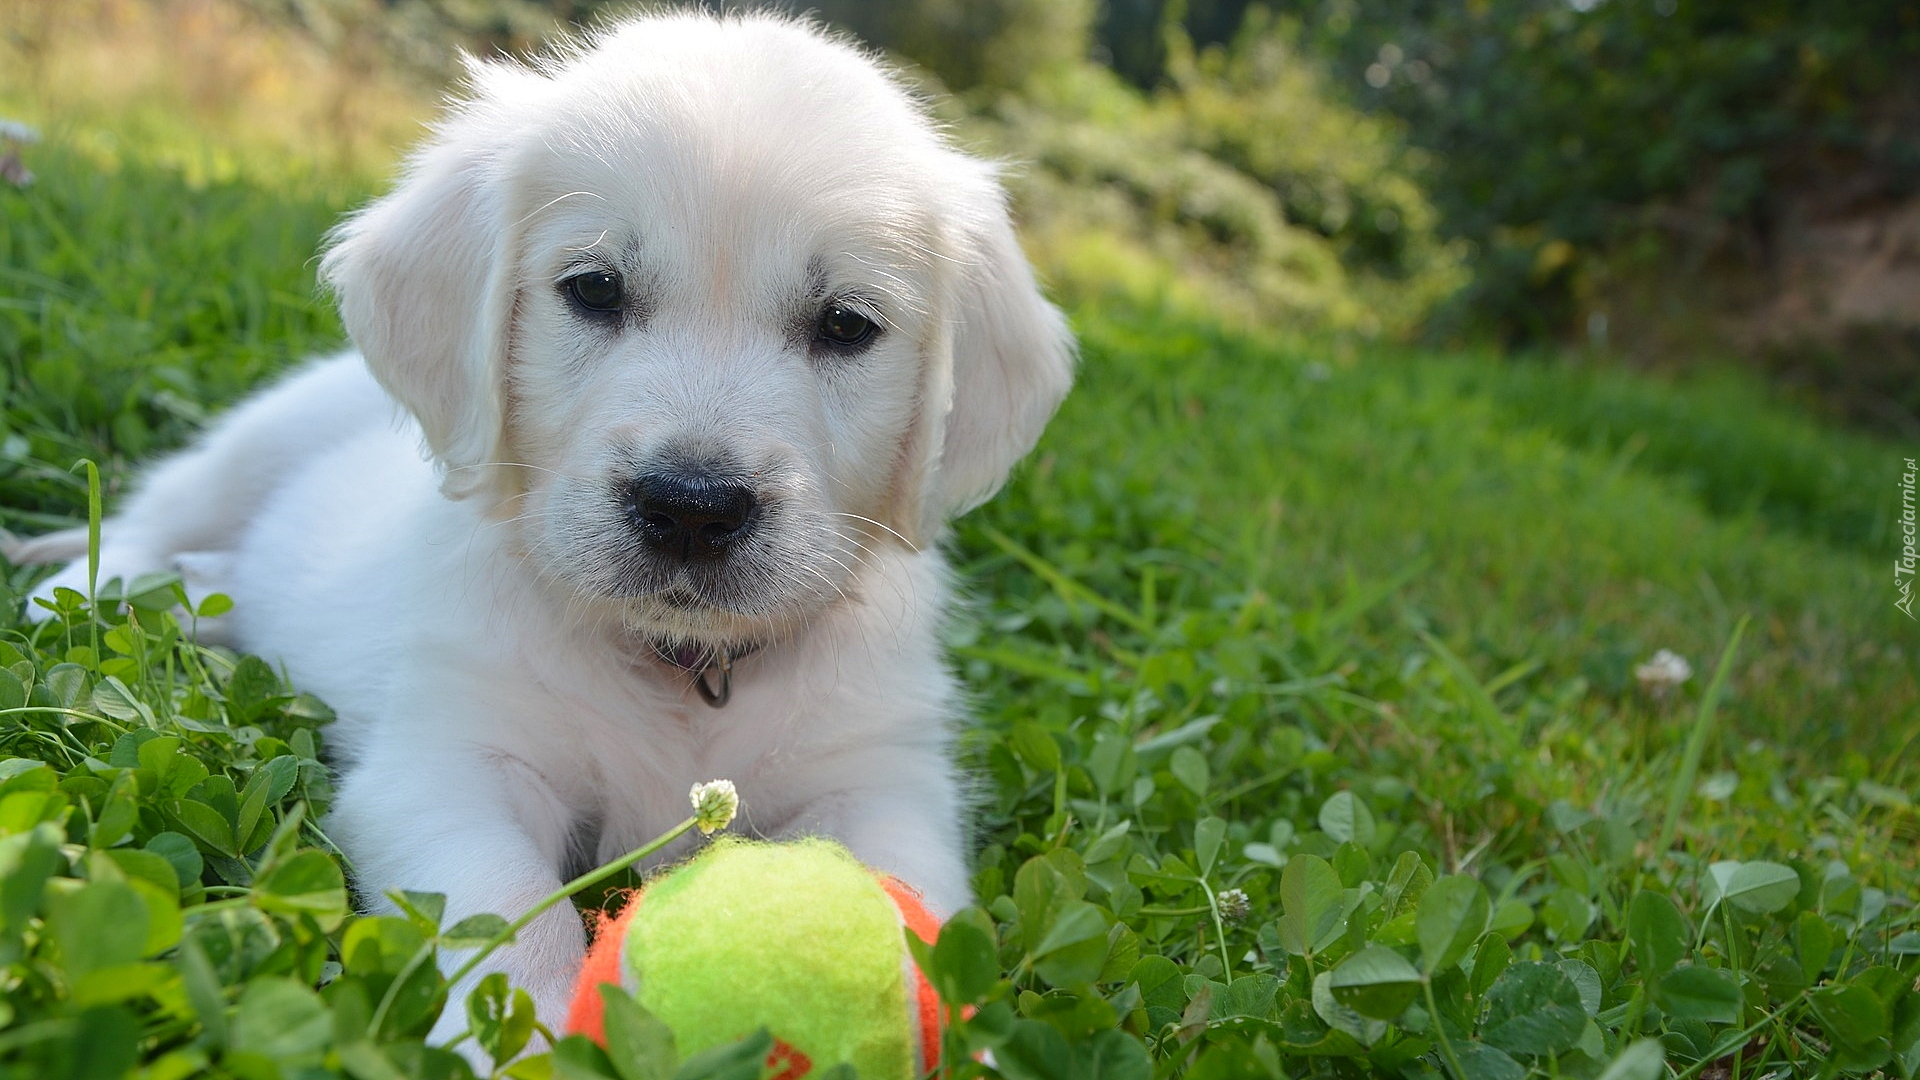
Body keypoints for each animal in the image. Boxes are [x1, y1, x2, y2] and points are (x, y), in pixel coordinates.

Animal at [15, 12, 1075, 1037]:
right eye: (594, 289)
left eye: (848, 325)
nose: (691, 507)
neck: (683, 669)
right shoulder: (454, 759)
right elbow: (508, 913)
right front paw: (524, 1043)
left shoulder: (882, 780)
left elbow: (908, 914)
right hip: (256, 439)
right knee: (153, 523)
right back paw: (76, 589)